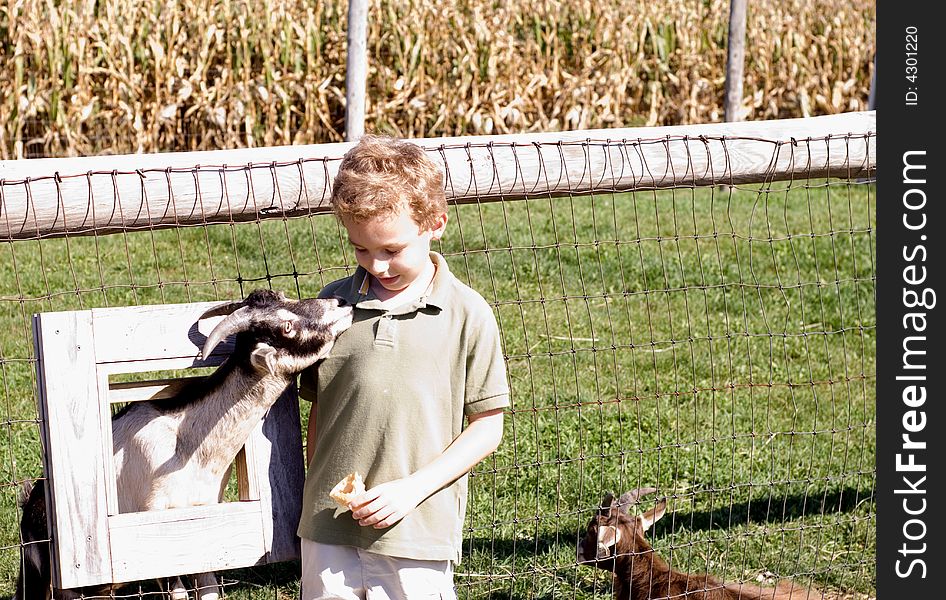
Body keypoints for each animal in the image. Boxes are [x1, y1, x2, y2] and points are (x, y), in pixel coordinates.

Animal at [12, 290, 352, 600]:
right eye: (286, 327)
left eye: (285, 297)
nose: (341, 303)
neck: (189, 449)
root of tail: (30, 510)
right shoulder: (159, 527)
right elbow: (177, 593)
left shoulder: (202, 524)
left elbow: (209, 589)